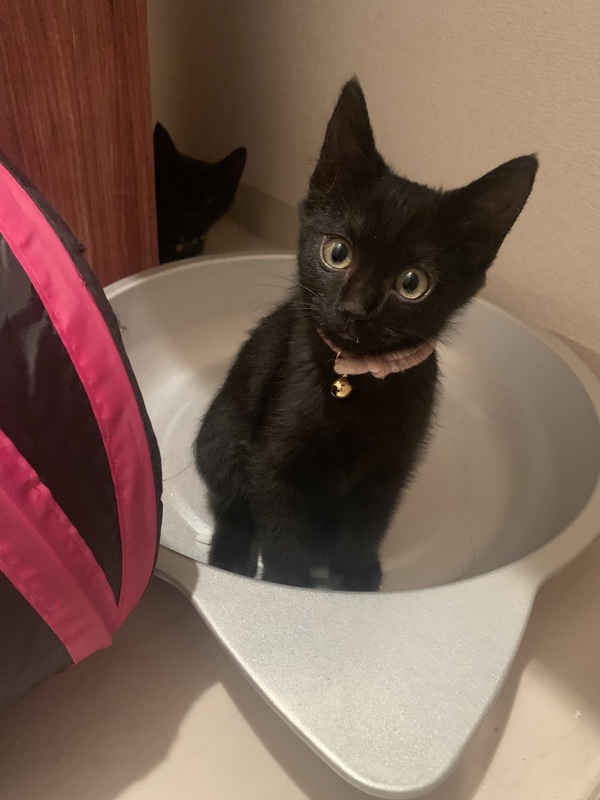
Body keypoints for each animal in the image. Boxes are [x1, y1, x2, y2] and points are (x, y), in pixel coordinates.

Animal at [194, 77, 538, 591]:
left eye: (412, 283)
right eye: (338, 252)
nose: (355, 309)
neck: (355, 380)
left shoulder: (388, 472)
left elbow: (364, 528)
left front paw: (354, 578)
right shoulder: (272, 465)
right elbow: (280, 536)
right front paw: (293, 587)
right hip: (221, 435)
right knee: (230, 502)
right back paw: (231, 556)